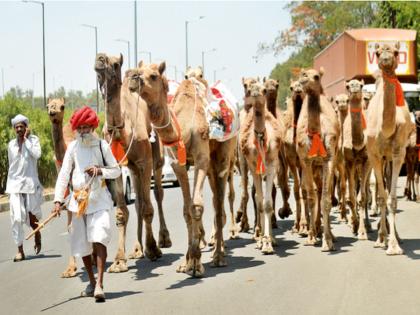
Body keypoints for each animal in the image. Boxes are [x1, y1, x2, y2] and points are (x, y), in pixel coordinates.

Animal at [94, 53, 168, 272]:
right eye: (101, 57)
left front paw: (153, 249)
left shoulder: (145, 162)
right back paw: (137, 249)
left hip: (157, 160)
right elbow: (122, 212)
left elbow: (148, 208)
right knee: (138, 202)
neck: (121, 130)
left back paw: (163, 240)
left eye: (116, 63)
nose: (100, 58)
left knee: (157, 194)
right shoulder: (116, 167)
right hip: (132, 169)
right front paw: (119, 260)